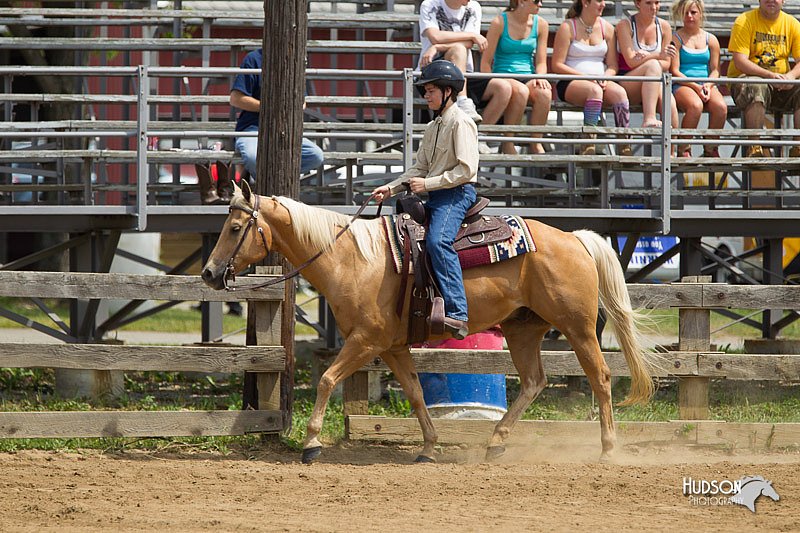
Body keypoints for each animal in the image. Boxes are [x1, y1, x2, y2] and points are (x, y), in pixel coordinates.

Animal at [202, 182, 656, 462]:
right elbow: (417, 393)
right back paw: (495, 443)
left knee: (600, 377)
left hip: (578, 328)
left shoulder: (365, 341)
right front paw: (429, 447)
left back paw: (607, 448)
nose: (208, 273)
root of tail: (576, 238)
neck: (352, 260)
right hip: (522, 329)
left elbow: (328, 380)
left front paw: (311, 444)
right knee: (532, 381)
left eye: (236, 227)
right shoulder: (392, 346)